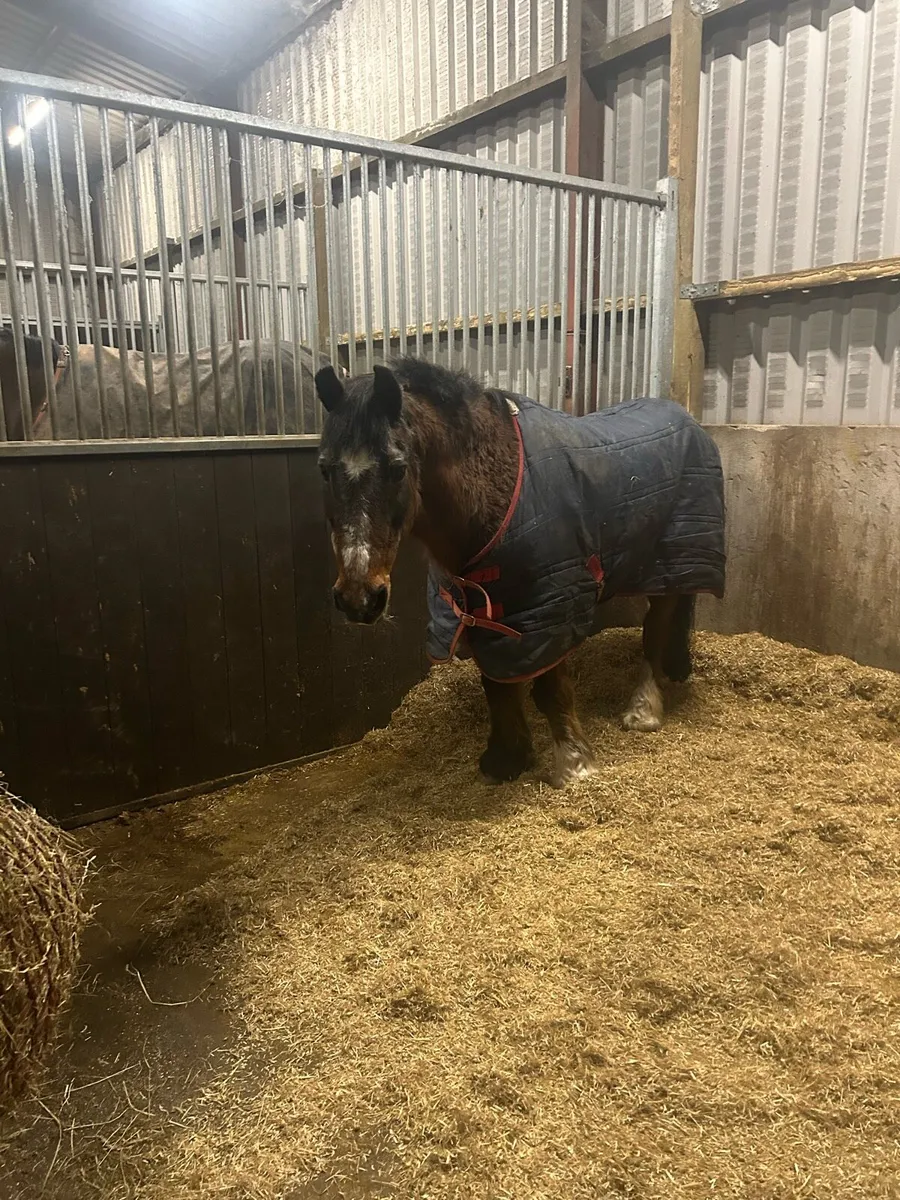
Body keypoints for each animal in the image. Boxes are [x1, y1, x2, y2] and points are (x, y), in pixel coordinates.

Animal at [314, 357, 726, 787]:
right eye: (324, 469)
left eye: (397, 468)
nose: (359, 598)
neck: (494, 489)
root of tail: (689, 420)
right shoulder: (482, 608)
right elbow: (496, 684)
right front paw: (507, 757)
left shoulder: (551, 606)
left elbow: (550, 689)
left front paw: (575, 764)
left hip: (670, 563)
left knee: (655, 631)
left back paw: (643, 711)